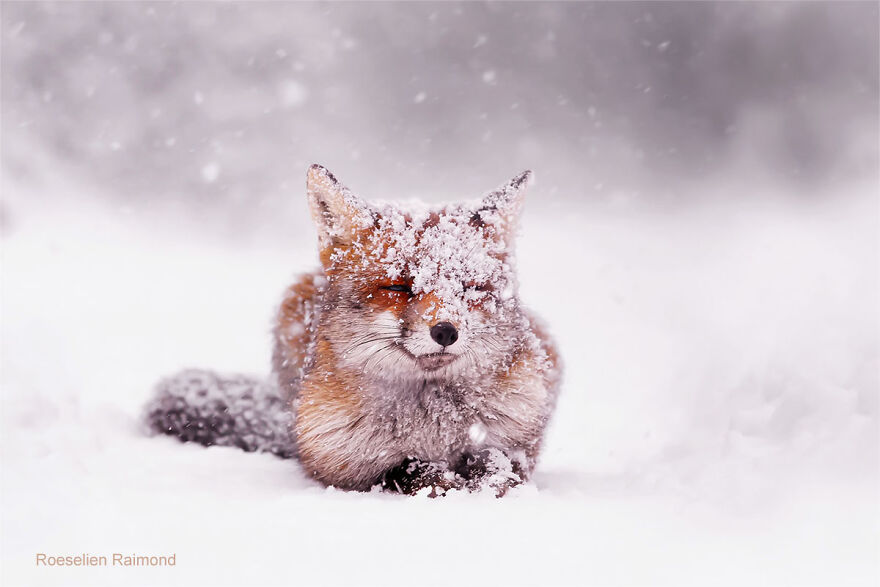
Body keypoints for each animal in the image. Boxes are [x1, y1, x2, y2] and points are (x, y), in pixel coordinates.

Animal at [146, 165, 561, 496]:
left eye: (470, 288)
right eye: (398, 287)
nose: (445, 331)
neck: (432, 422)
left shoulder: (517, 441)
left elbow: (499, 466)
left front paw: (487, 486)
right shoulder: (341, 464)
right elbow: (411, 469)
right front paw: (445, 484)